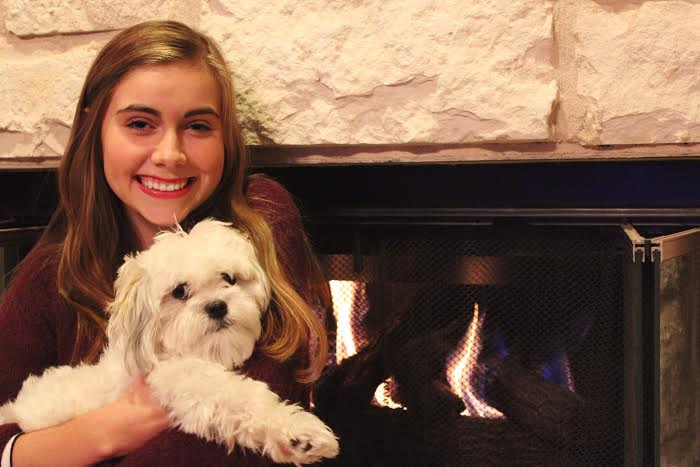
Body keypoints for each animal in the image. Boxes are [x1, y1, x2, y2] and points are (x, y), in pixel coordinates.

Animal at [0, 220, 340, 467]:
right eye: (179, 291)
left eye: (229, 278)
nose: (217, 306)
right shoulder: (187, 382)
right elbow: (242, 398)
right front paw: (298, 433)